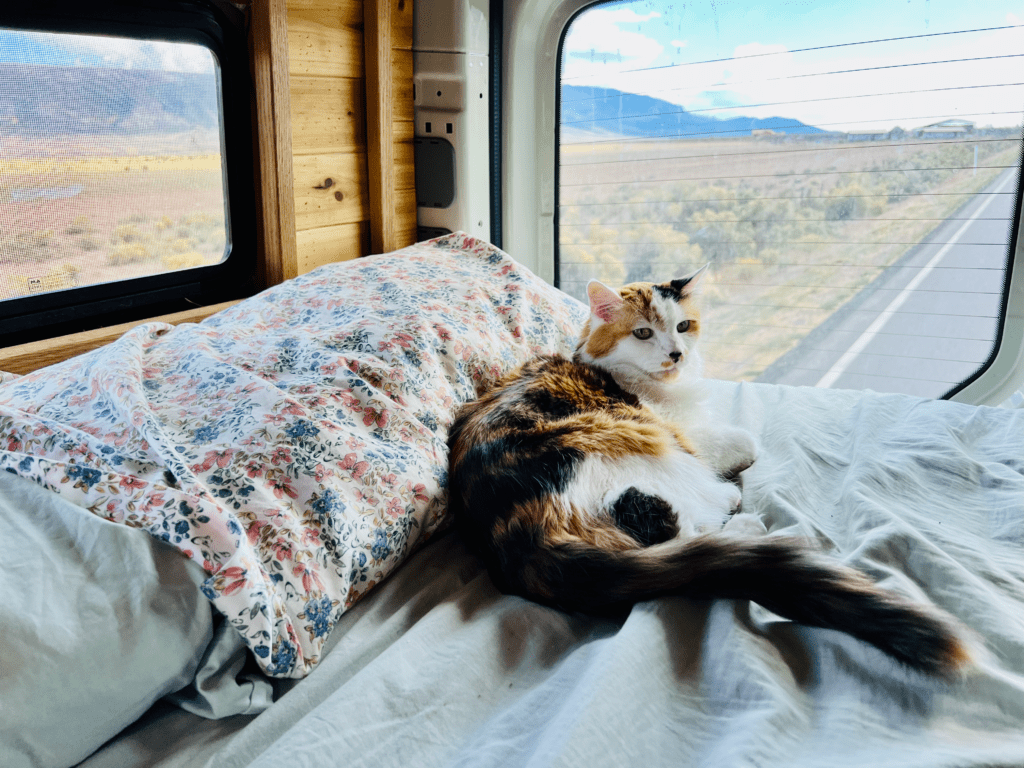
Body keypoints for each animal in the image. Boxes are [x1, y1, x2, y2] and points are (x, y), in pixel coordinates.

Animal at [446, 266, 966, 679]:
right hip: (637, 446)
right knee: (686, 525)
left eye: (683, 326)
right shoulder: (691, 436)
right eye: (643, 334)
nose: (677, 353)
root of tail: (520, 541)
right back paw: (750, 525)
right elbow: (746, 442)